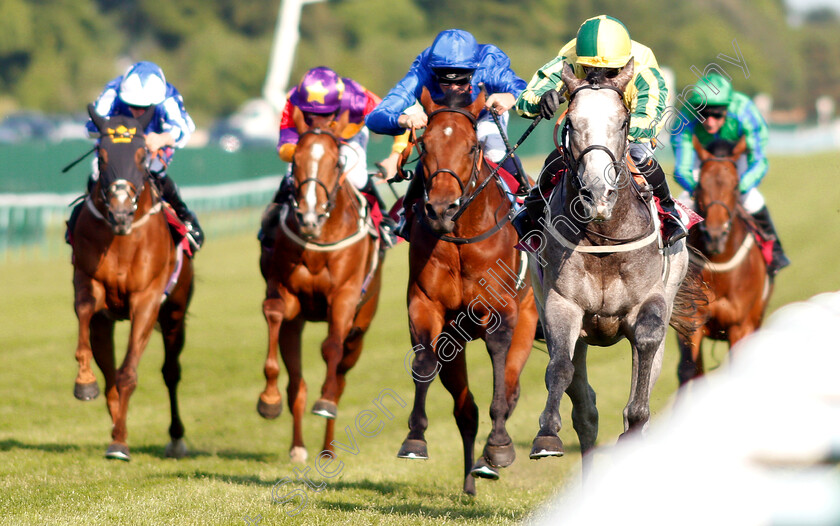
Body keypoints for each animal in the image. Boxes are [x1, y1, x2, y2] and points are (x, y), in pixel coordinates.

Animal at [71, 104, 195, 462]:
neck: (122, 238)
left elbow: (128, 373)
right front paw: (84, 384)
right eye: (102, 155)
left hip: (175, 313)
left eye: (141, 155)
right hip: (107, 322)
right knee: (109, 371)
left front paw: (119, 442)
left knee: (171, 371)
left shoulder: (147, 300)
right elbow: (84, 311)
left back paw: (175, 438)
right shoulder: (88, 282)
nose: (121, 213)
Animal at [258, 110, 386, 462]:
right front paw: (268, 400)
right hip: (296, 326)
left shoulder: (344, 297)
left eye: (337, 162)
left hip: (361, 328)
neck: (318, 239)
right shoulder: (287, 294)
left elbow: (331, 347)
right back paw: (298, 446)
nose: (309, 217)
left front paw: (325, 400)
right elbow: (274, 311)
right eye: (295, 160)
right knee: (297, 385)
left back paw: (328, 448)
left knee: (340, 375)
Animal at [396, 88, 540, 498]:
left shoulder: (502, 311)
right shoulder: (425, 305)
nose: (441, 208)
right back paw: (470, 479)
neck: (461, 237)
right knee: (466, 410)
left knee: (510, 389)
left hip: (529, 321)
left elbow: (499, 371)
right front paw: (414, 440)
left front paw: (500, 447)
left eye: (472, 145)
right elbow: (423, 363)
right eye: (424, 143)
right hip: (455, 345)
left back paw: (490, 458)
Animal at [524, 60, 688, 474]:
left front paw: (635, 425)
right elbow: (559, 369)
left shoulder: (651, 300)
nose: (598, 194)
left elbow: (645, 347)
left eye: (624, 122)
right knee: (585, 409)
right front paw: (546, 435)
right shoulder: (561, 305)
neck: (604, 239)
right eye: (571, 121)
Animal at [672, 136, 772, 386]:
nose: (715, 235)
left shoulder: (740, 326)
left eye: (735, 186)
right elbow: (688, 370)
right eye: (700, 185)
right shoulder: (691, 321)